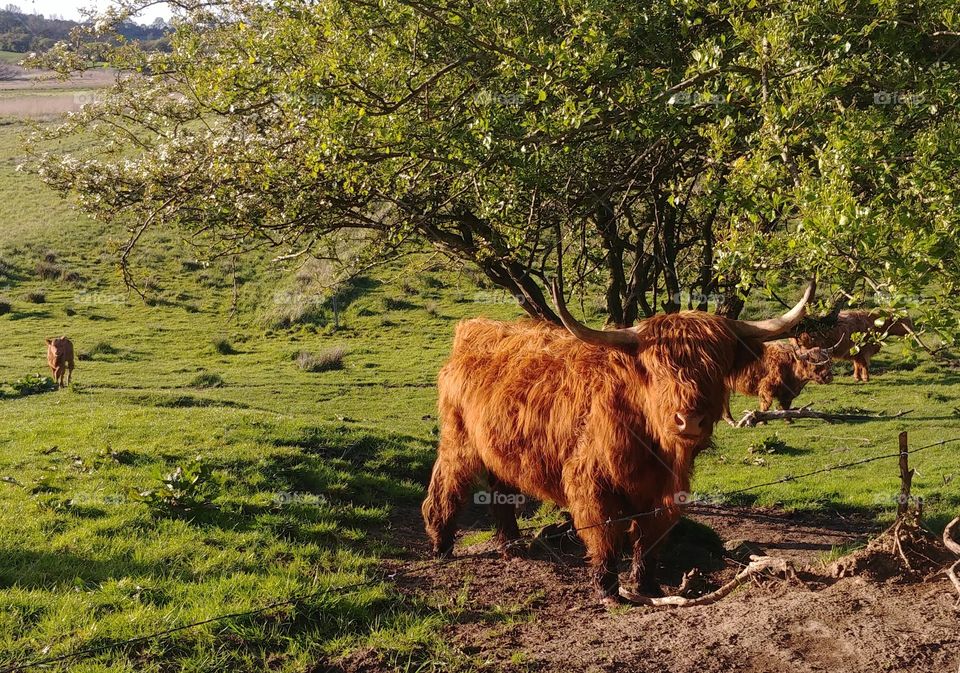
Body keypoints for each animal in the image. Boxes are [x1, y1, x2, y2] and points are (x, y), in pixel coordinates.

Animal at [422, 280, 814, 603]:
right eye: (657, 370)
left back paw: (511, 546)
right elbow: (606, 532)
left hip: (499, 444)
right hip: (459, 439)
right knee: (448, 482)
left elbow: (650, 536)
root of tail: (476, 328)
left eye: (715, 367)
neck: (652, 444)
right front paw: (608, 588)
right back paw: (441, 544)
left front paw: (647, 585)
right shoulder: (590, 481)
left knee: (500, 485)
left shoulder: (665, 490)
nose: (689, 420)